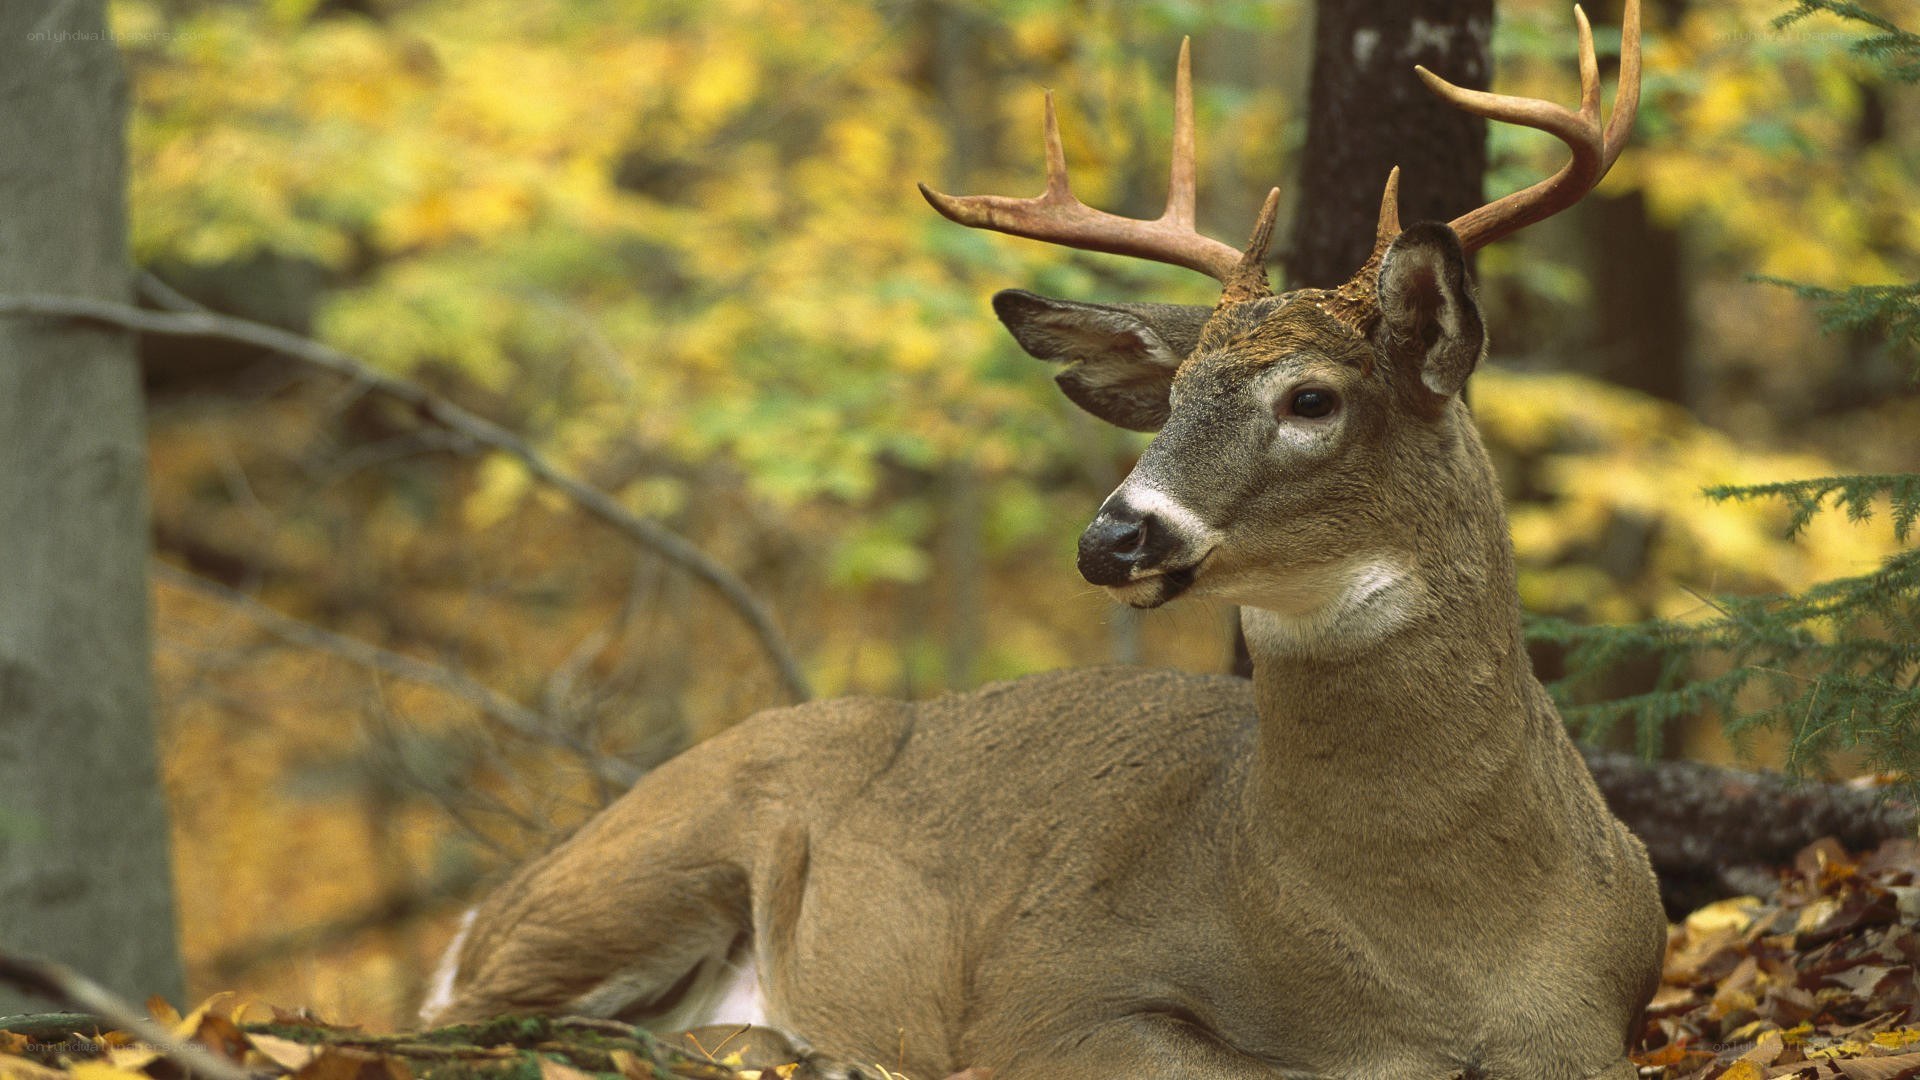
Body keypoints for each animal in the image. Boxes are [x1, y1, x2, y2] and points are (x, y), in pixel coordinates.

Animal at [420, 4, 1664, 1078]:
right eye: (1173, 400)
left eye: (1312, 399)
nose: (1113, 535)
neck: (1438, 956)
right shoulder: (1052, 990)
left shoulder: (1599, 1021)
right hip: (647, 858)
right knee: (462, 1023)